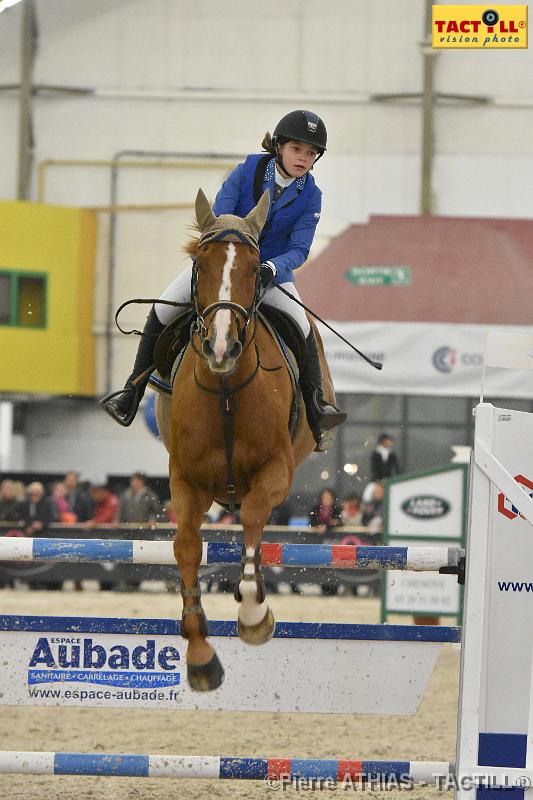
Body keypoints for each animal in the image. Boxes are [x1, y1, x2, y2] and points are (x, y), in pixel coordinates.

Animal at [154, 191, 336, 692]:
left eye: (257, 269)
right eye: (200, 265)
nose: (220, 348)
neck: (226, 389)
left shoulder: (277, 471)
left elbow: (255, 516)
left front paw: (255, 613)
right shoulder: (186, 479)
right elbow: (186, 545)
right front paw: (200, 655)